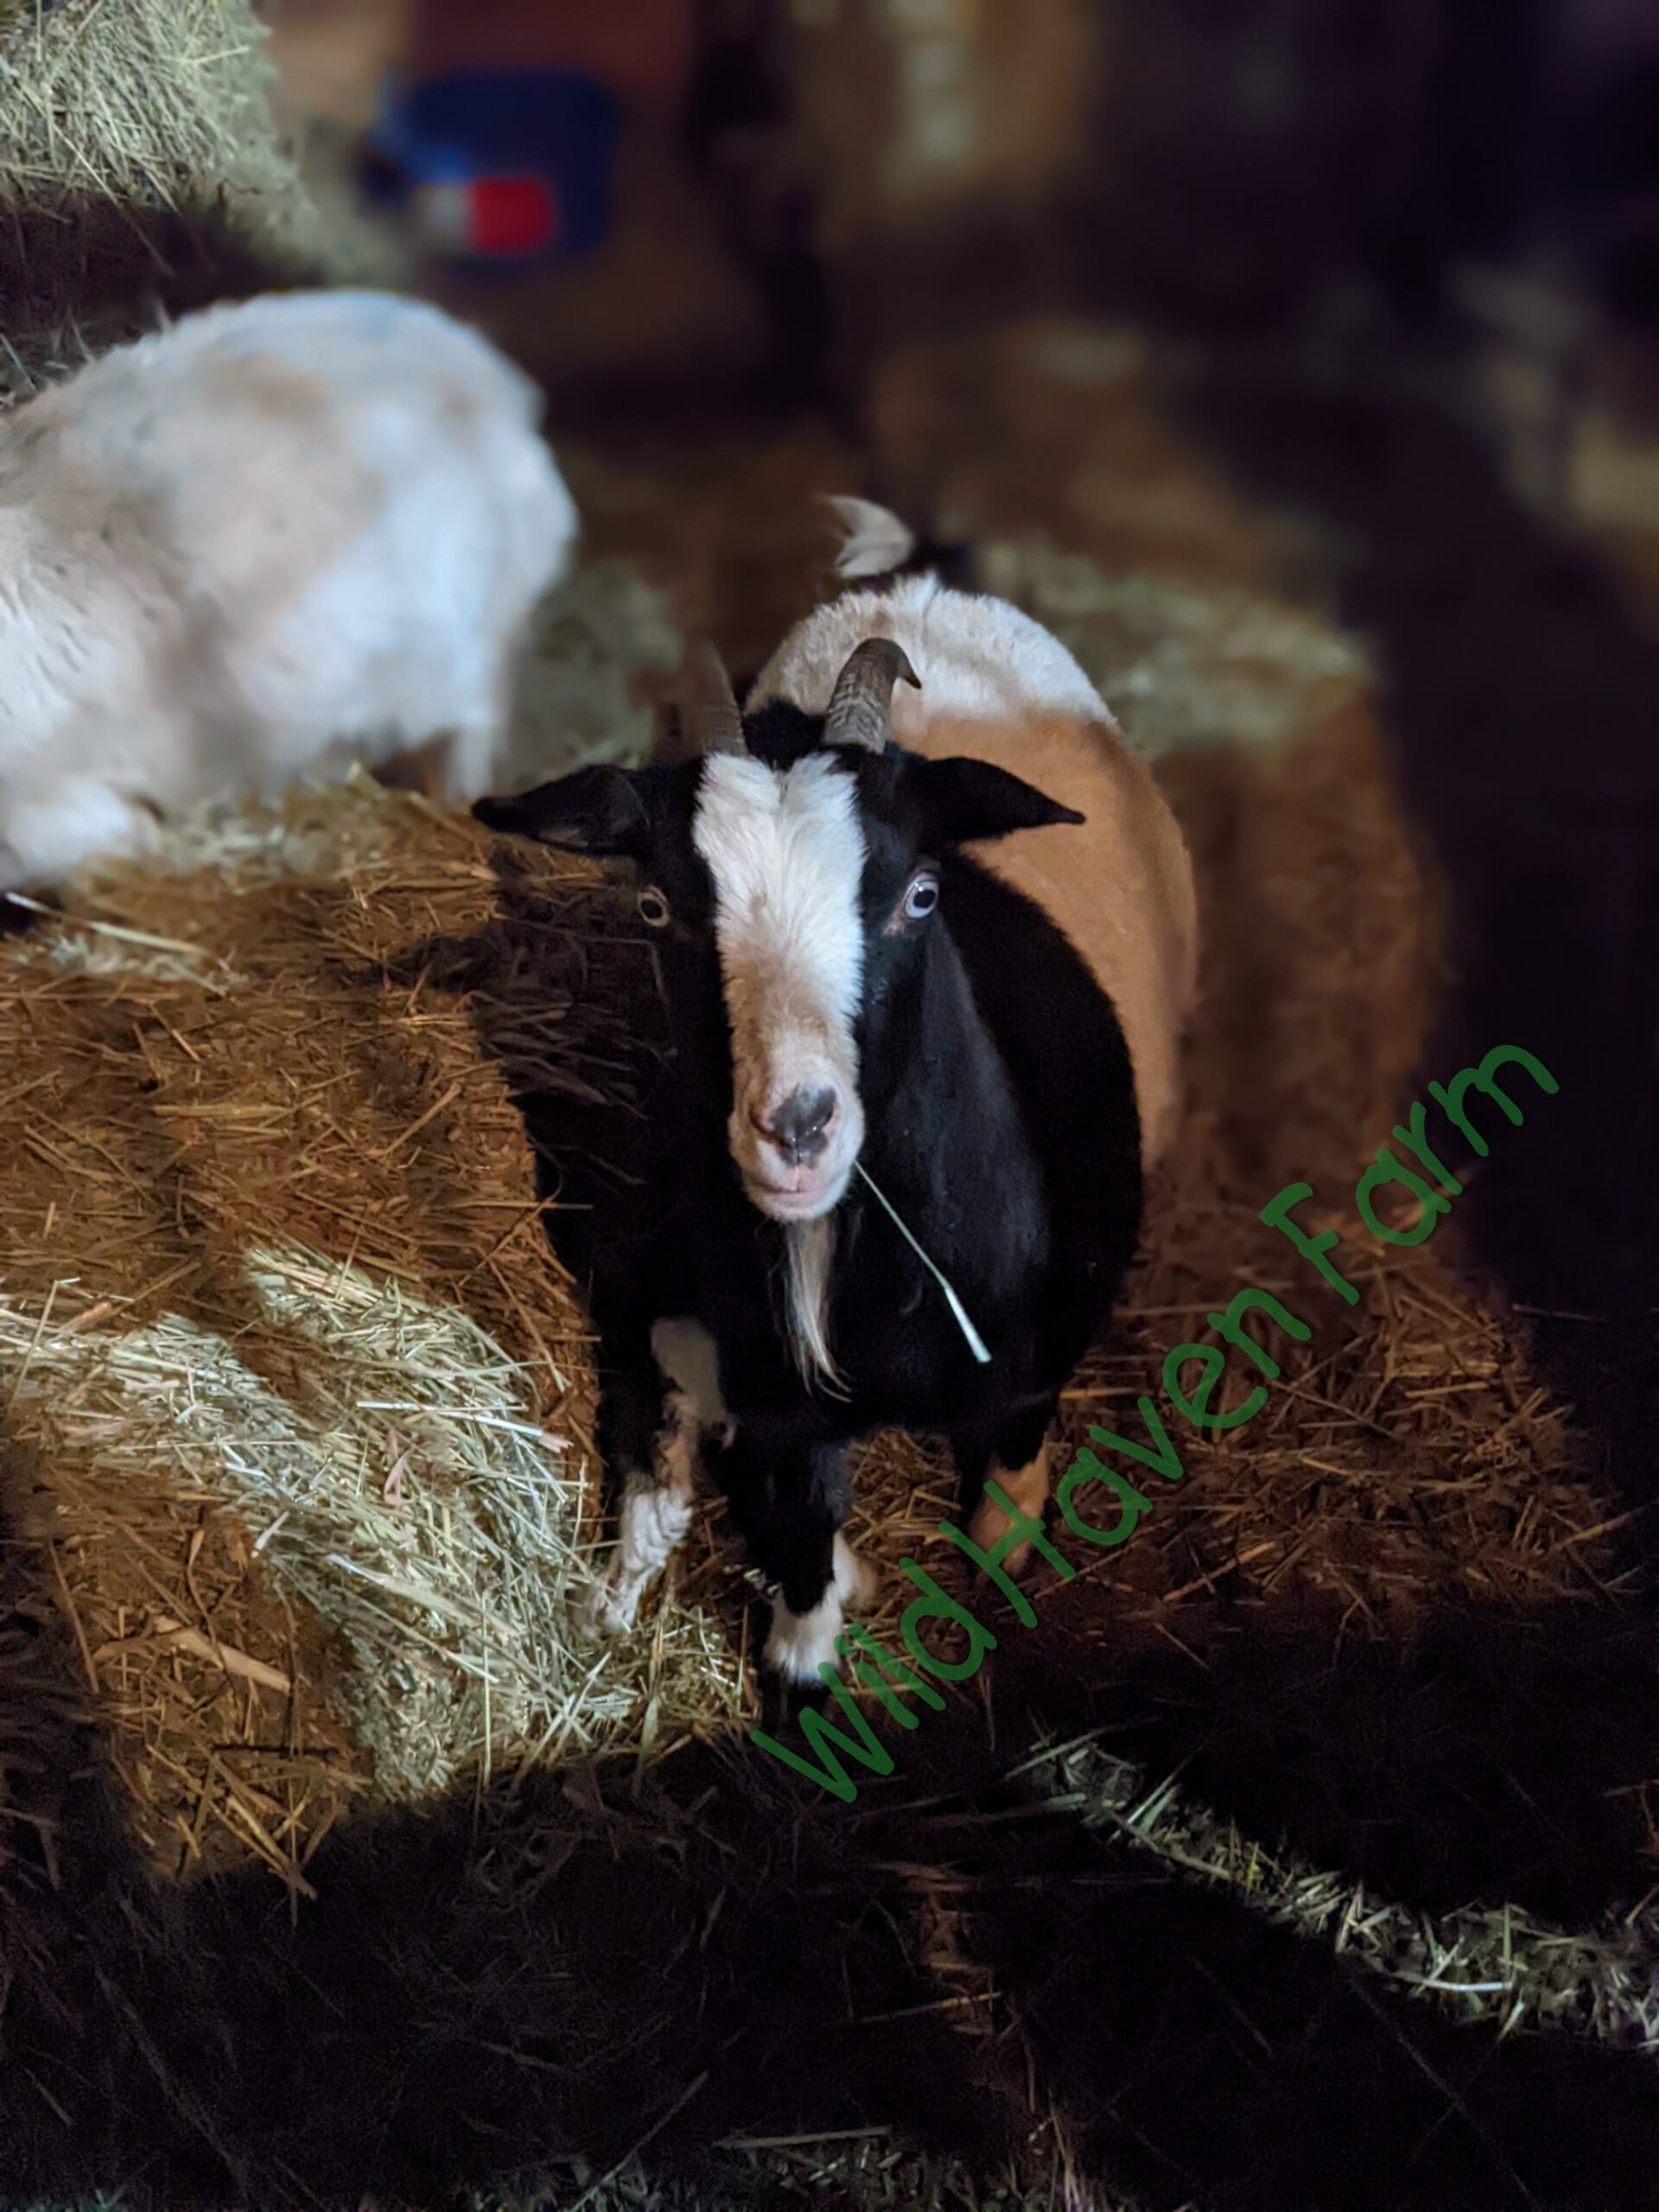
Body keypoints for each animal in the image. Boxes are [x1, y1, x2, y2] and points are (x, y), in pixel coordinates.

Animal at [473, 504, 1199, 1683]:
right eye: (655, 907)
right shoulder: (774, 1403)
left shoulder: (1038, 1357)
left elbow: (1006, 1492)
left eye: (921, 894)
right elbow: (796, 1578)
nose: (797, 1127)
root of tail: (918, 586)